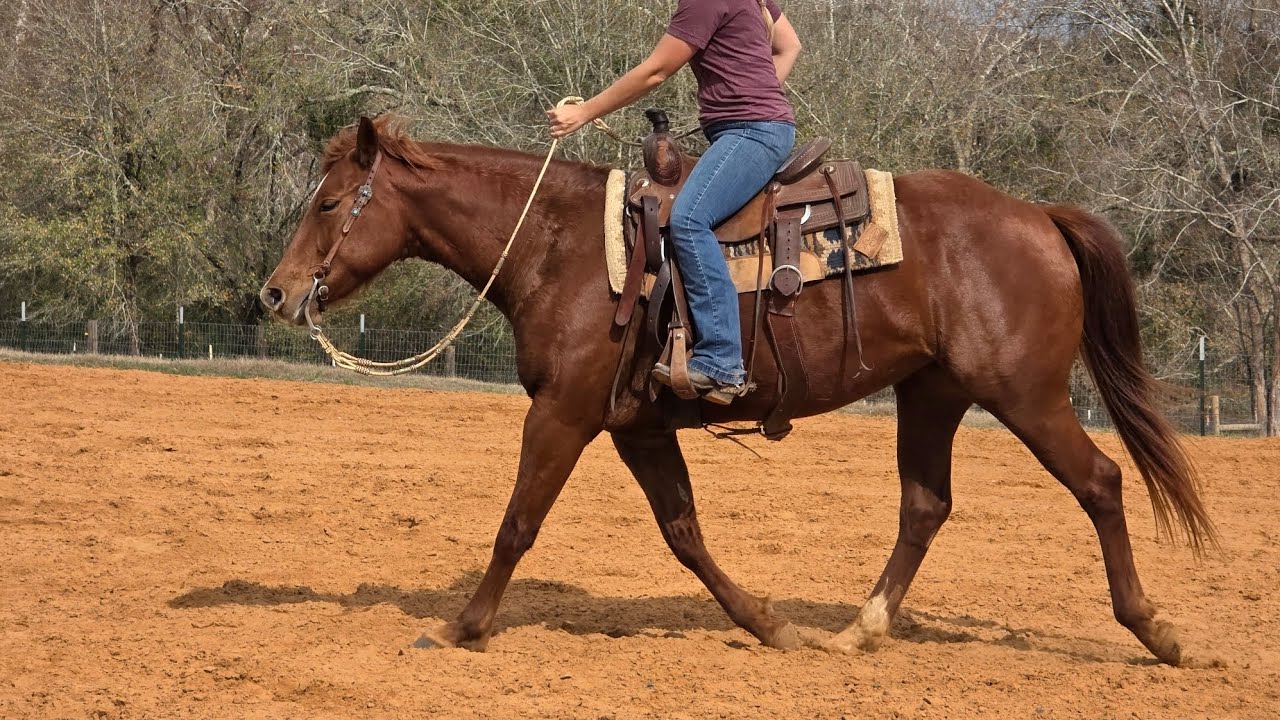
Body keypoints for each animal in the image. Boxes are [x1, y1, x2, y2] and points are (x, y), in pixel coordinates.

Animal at [259, 115, 1216, 666]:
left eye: (328, 202)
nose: (274, 293)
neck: (561, 244)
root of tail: (1036, 216)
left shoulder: (563, 414)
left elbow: (518, 522)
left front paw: (462, 627)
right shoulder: (636, 426)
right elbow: (683, 531)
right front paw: (767, 623)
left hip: (1025, 394)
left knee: (1100, 482)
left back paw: (1161, 632)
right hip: (933, 394)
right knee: (925, 505)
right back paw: (859, 630)